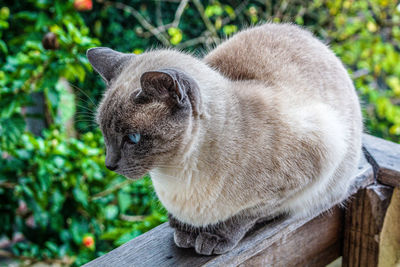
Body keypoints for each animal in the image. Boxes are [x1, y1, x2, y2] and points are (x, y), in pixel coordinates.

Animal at [86, 23, 362, 255]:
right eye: (104, 133)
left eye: (132, 138)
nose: (109, 165)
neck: (175, 176)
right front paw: (185, 231)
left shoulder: (305, 171)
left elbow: (246, 216)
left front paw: (214, 238)